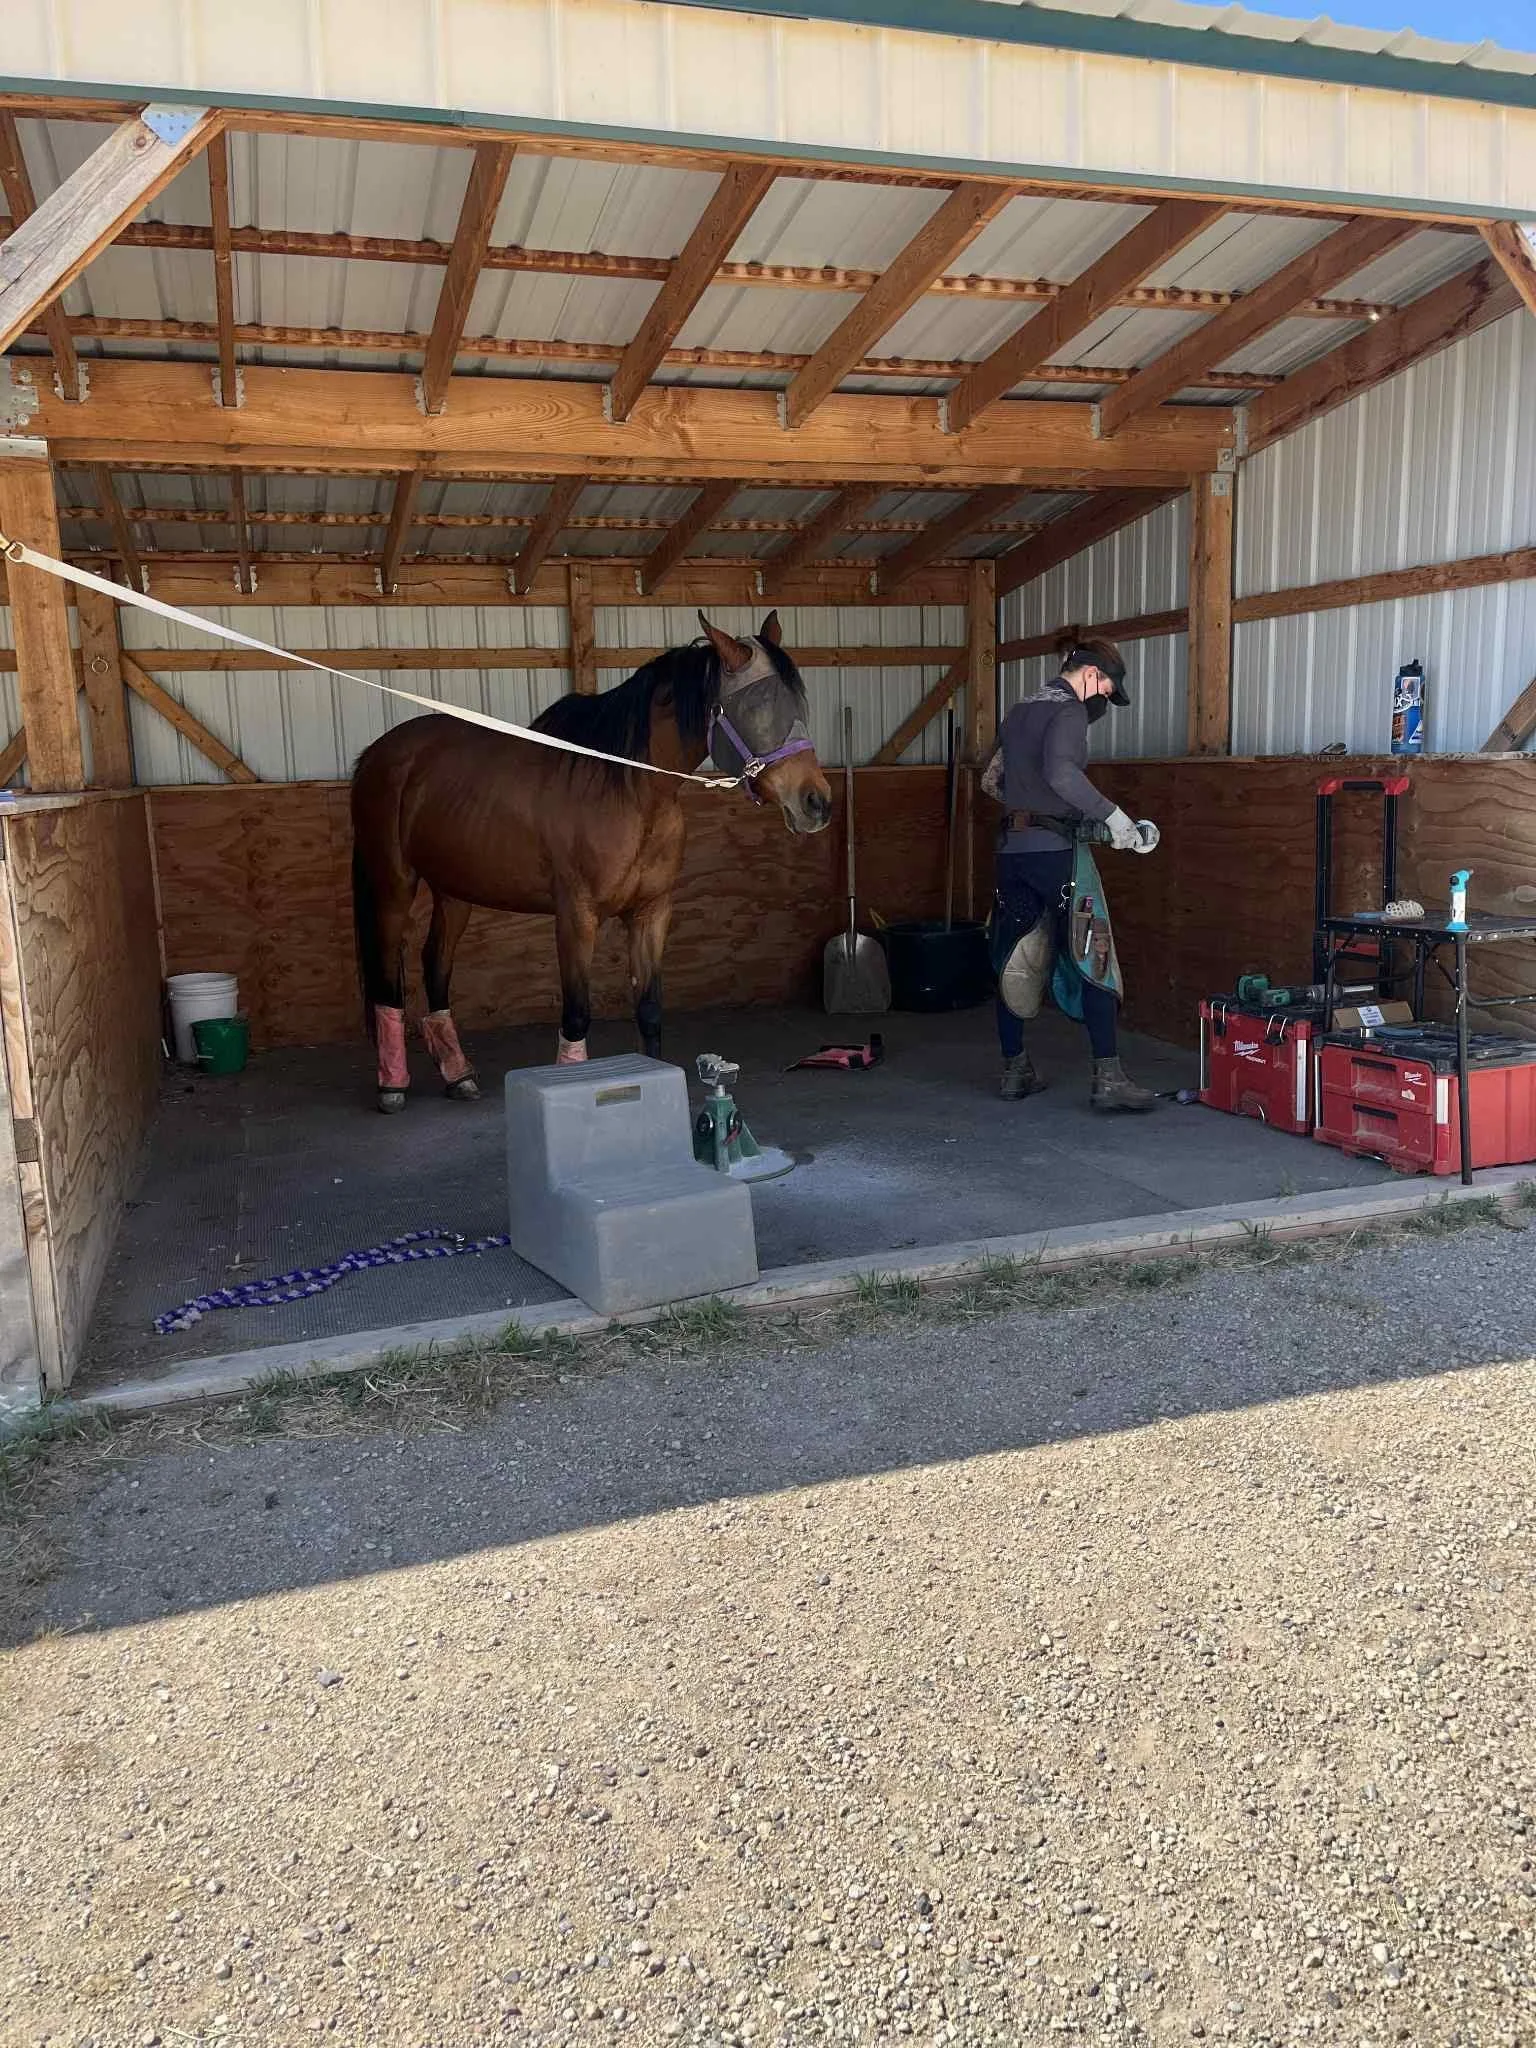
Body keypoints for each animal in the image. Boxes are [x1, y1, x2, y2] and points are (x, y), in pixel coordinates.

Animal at [350, 611, 833, 1112]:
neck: (629, 791)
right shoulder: (577, 917)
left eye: (797, 701)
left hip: (455, 890)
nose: (816, 803)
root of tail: (377, 754)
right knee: (386, 970)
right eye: (757, 704)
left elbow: (650, 1011)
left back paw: (458, 1075)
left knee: (434, 962)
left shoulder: (650, 913)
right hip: (393, 882)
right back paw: (392, 1084)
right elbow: (578, 1015)